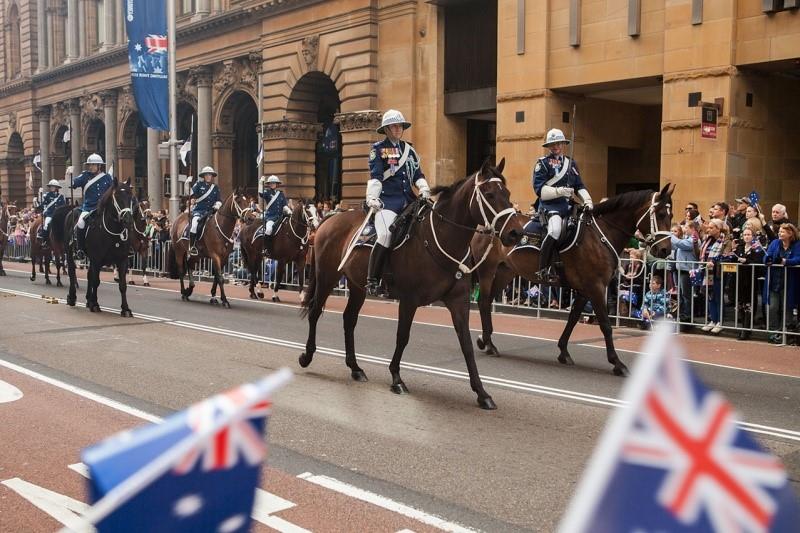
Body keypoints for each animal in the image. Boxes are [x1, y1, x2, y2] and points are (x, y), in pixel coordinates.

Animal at [300, 160, 524, 410]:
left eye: (507, 193)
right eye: (490, 194)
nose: (516, 233)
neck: (441, 238)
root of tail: (330, 219)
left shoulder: (459, 301)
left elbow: (466, 344)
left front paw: (482, 392)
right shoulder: (409, 300)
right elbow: (403, 336)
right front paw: (396, 378)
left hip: (357, 286)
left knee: (349, 320)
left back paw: (355, 368)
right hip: (327, 277)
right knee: (315, 312)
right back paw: (307, 356)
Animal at [472, 183, 672, 374]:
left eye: (671, 215)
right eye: (661, 214)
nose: (665, 250)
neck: (600, 236)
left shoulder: (585, 290)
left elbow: (573, 318)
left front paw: (563, 351)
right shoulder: (596, 287)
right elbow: (605, 325)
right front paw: (617, 362)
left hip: (505, 272)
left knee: (488, 301)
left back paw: (486, 339)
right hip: (487, 270)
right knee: (483, 302)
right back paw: (488, 342)